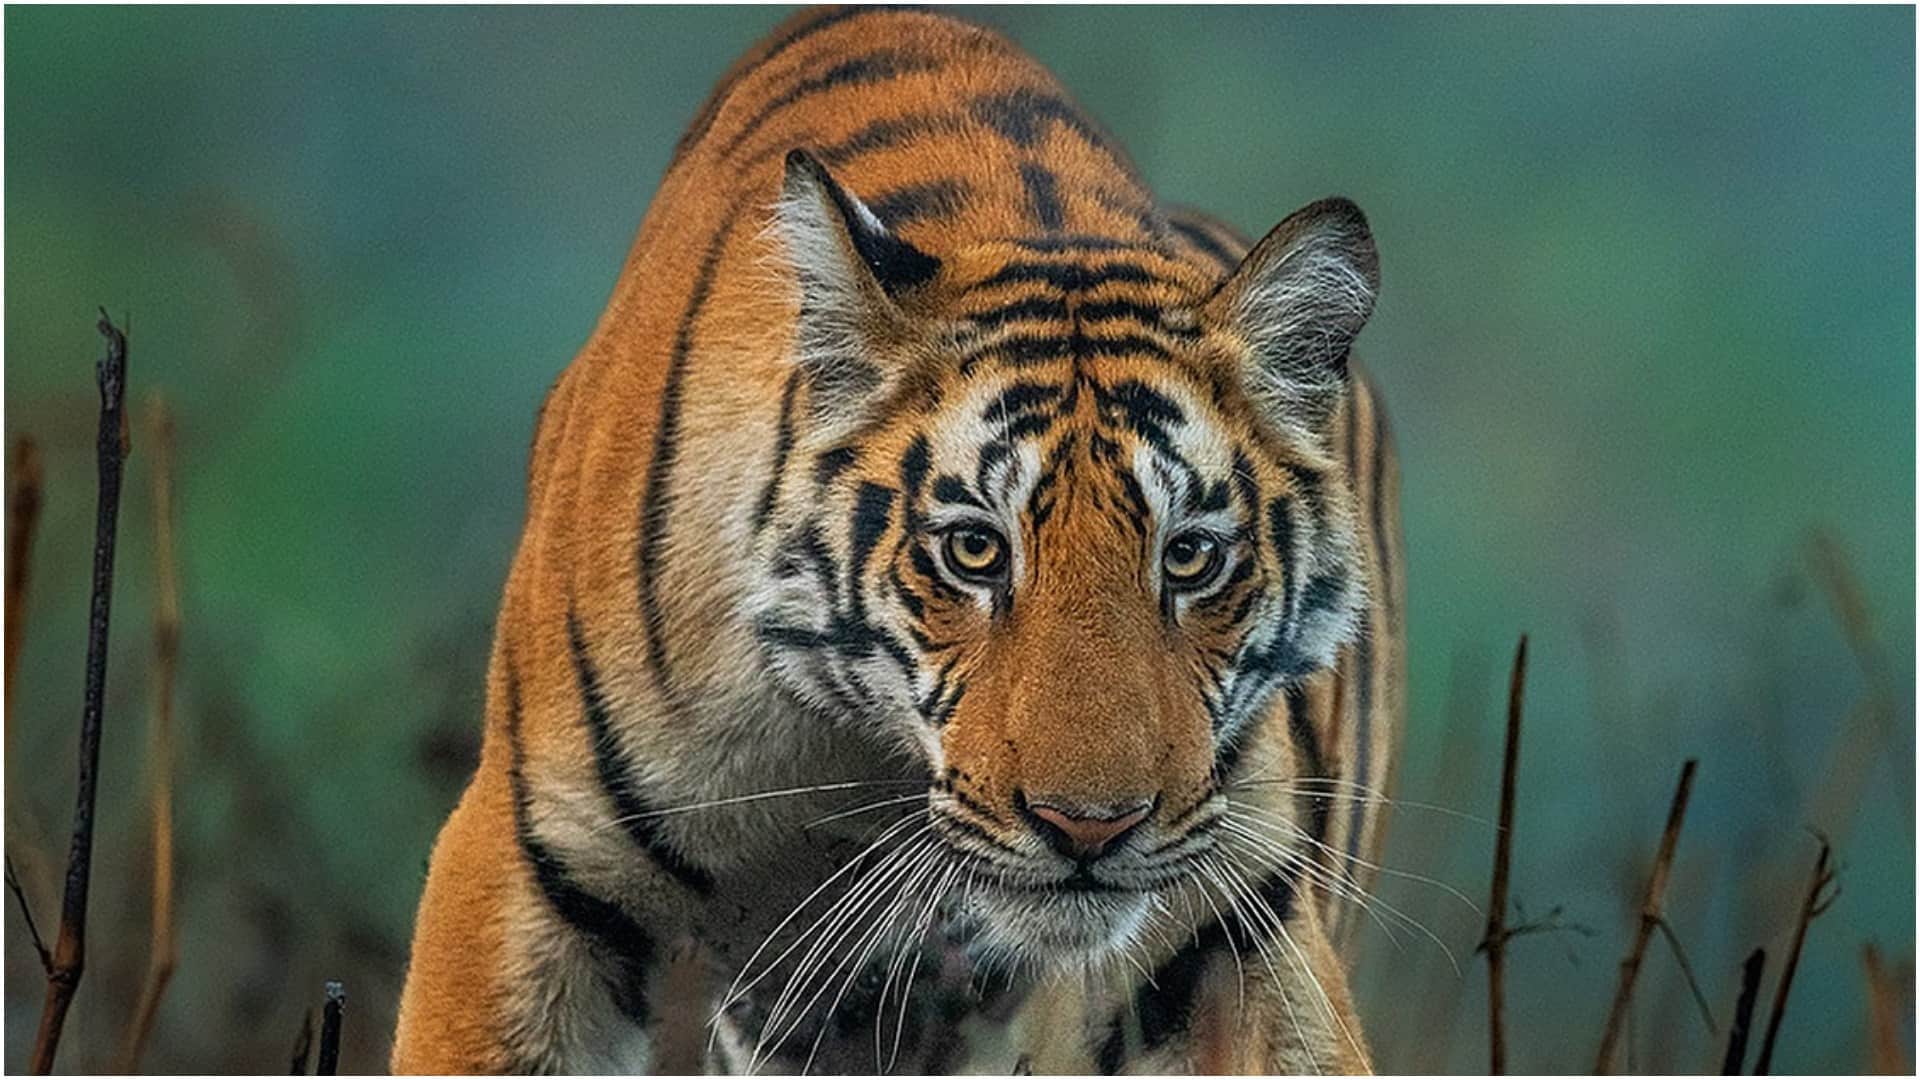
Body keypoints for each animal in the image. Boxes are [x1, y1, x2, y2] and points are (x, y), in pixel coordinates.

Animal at [392, 6, 1404, 1074]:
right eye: (974, 551)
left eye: (1189, 556)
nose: (1090, 831)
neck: (862, 753)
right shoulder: (528, 864)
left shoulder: (1237, 909)